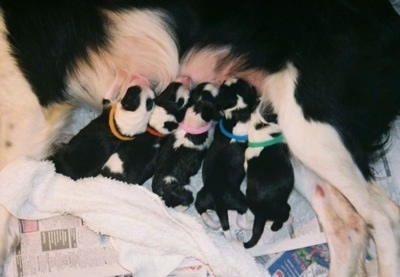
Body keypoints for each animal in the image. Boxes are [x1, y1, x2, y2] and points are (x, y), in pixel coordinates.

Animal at [195, 77, 260, 237]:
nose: (226, 79)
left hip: (201, 197)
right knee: (240, 220)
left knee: (201, 210)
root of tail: (218, 200)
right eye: (246, 84)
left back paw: (214, 224)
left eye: (224, 87)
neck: (235, 110)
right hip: (241, 200)